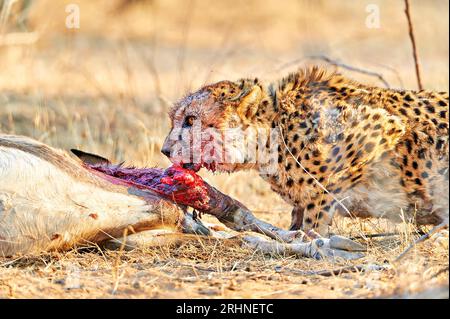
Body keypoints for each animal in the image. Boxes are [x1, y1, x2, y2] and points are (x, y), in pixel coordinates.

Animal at [161, 67, 446, 238]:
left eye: (190, 120)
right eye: (175, 119)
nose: (164, 150)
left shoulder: (383, 127)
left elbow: (318, 206)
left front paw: (311, 241)